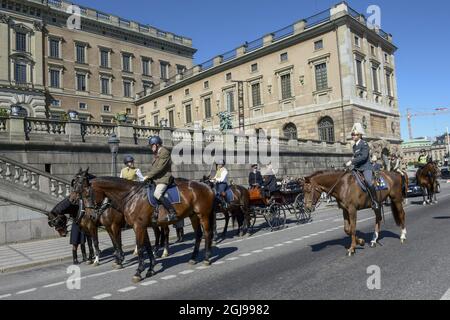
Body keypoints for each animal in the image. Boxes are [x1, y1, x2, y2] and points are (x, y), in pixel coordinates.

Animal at [72, 171, 216, 282]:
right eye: (78, 191)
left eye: (86, 194)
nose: (90, 215)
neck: (130, 196)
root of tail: (206, 185)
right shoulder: (139, 226)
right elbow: (145, 247)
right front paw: (150, 269)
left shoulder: (134, 226)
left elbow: (138, 247)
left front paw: (137, 271)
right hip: (193, 216)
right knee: (198, 235)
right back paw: (192, 258)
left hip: (203, 215)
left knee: (207, 233)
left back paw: (206, 258)